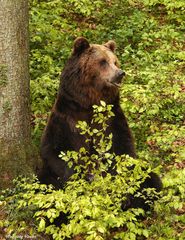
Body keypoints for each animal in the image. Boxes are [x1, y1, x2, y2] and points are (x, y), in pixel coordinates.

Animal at [39, 37, 162, 210]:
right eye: (103, 61)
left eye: (115, 61)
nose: (120, 73)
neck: (90, 102)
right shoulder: (66, 117)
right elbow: (54, 150)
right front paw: (82, 180)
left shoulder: (112, 117)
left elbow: (123, 149)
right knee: (47, 187)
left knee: (149, 177)